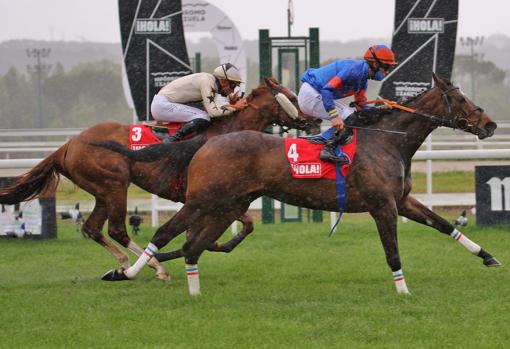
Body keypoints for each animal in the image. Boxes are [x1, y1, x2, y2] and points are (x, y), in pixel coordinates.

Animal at [0, 77, 318, 278]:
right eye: (291, 97)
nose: (313, 118)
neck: (226, 134)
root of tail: (68, 144)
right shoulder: (207, 197)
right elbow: (229, 227)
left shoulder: (223, 198)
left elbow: (246, 226)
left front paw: (213, 244)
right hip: (115, 185)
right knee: (117, 229)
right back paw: (155, 268)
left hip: (102, 191)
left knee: (92, 228)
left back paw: (125, 263)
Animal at [101, 73, 500, 294]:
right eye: (460, 98)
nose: (491, 124)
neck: (386, 141)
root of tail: (207, 141)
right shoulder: (382, 205)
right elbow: (392, 252)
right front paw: (403, 292)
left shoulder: (401, 201)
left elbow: (445, 224)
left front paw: (489, 256)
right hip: (201, 200)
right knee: (165, 234)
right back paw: (128, 272)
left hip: (228, 205)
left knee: (193, 246)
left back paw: (194, 291)